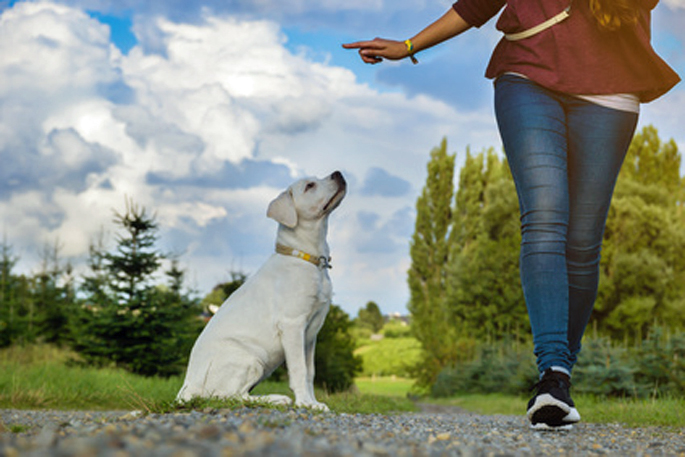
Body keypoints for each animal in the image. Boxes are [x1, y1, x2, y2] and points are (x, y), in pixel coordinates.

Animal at [176, 170, 348, 410]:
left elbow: (310, 372)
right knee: (228, 395)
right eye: (309, 186)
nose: (338, 173)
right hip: (249, 357)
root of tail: (187, 388)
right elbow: (299, 370)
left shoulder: (310, 333)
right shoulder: (293, 324)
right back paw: (276, 399)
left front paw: (314, 403)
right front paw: (304, 403)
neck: (309, 258)